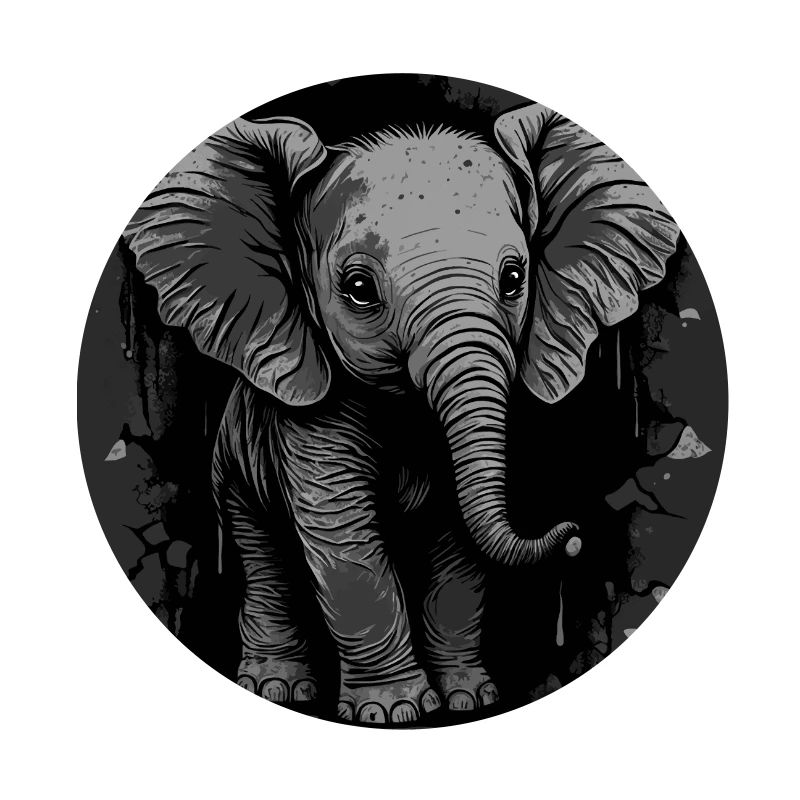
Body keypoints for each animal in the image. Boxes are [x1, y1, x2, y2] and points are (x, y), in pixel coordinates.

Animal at [122, 102, 679, 725]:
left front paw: (468, 700)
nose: (575, 536)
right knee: (264, 557)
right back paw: (280, 690)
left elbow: (457, 543)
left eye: (514, 279)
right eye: (359, 288)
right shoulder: (311, 420)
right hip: (235, 466)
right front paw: (394, 712)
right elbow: (345, 541)